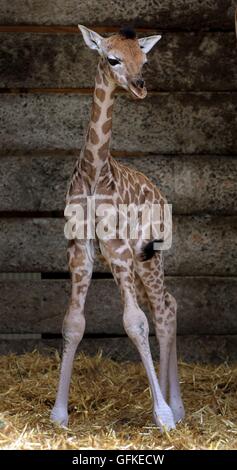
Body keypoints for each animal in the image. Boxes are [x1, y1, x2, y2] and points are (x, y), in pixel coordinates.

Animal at [51, 24, 185, 430]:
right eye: (112, 59)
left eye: (144, 59)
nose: (140, 86)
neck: (95, 173)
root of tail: (159, 192)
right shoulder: (81, 246)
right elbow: (74, 322)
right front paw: (59, 414)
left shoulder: (118, 245)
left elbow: (135, 322)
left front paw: (162, 415)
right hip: (133, 263)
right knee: (167, 304)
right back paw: (175, 405)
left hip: (148, 256)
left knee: (163, 309)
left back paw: (176, 408)